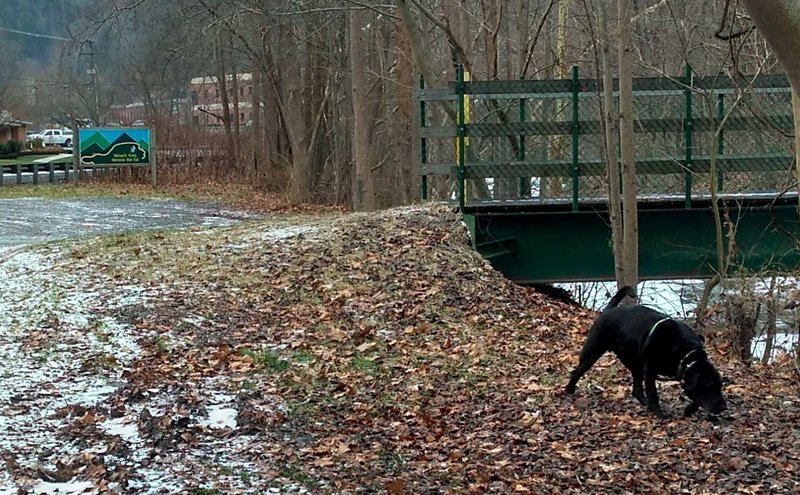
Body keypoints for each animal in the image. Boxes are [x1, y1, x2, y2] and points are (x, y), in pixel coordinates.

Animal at [564, 286, 728, 418]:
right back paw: (569, 389)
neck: (686, 354)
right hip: (592, 352)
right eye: (710, 387)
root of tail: (609, 309)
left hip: (634, 362)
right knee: (577, 371)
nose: (724, 407)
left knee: (636, 389)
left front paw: (689, 409)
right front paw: (659, 413)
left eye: (720, 387)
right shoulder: (650, 369)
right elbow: (653, 393)